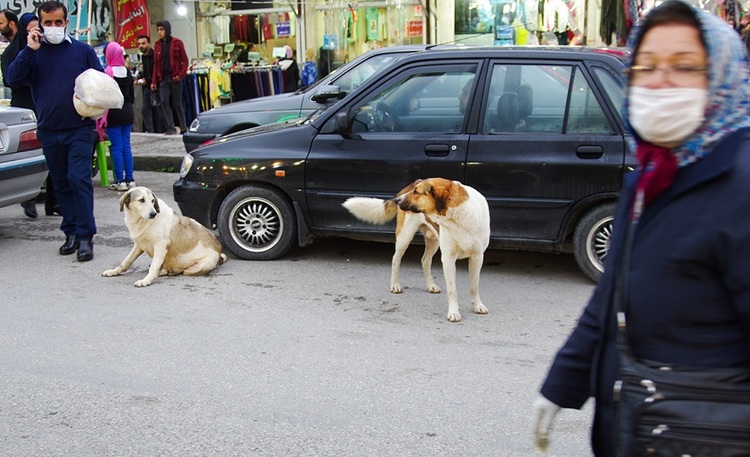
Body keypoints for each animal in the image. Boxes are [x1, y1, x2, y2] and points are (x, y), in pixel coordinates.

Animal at [346, 176, 494, 322]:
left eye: (416, 192)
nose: (397, 201)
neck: (458, 217)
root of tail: (415, 181)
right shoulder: (448, 259)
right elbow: (452, 290)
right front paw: (453, 312)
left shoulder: (477, 257)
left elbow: (474, 286)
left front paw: (477, 305)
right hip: (405, 236)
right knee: (396, 259)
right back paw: (395, 285)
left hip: (434, 241)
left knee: (425, 261)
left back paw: (430, 285)